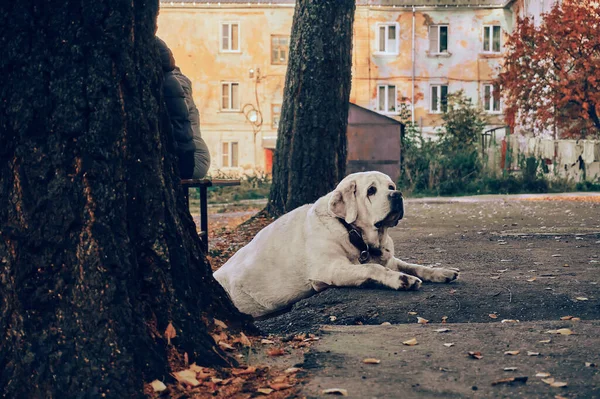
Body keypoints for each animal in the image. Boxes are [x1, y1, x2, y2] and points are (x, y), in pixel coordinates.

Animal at [213, 172, 458, 318]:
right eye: (371, 190)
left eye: (391, 186)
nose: (397, 194)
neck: (352, 232)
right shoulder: (330, 269)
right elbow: (372, 268)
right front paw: (401, 280)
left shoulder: (389, 259)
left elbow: (413, 265)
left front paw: (441, 271)